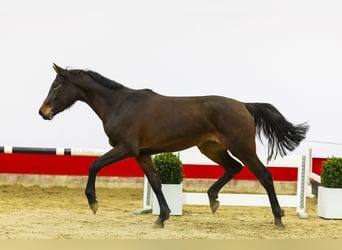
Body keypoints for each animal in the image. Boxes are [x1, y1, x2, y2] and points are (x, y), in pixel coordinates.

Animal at [38, 64, 308, 229]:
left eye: (57, 85)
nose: (43, 112)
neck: (120, 104)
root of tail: (244, 105)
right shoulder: (142, 154)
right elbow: (156, 182)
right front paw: (162, 217)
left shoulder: (126, 148)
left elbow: (93, 165)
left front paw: (93, 203)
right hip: (211, 148)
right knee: (233, 168)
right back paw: (213, 200)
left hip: (242, 148)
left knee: (264, 175)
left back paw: (278, 218)